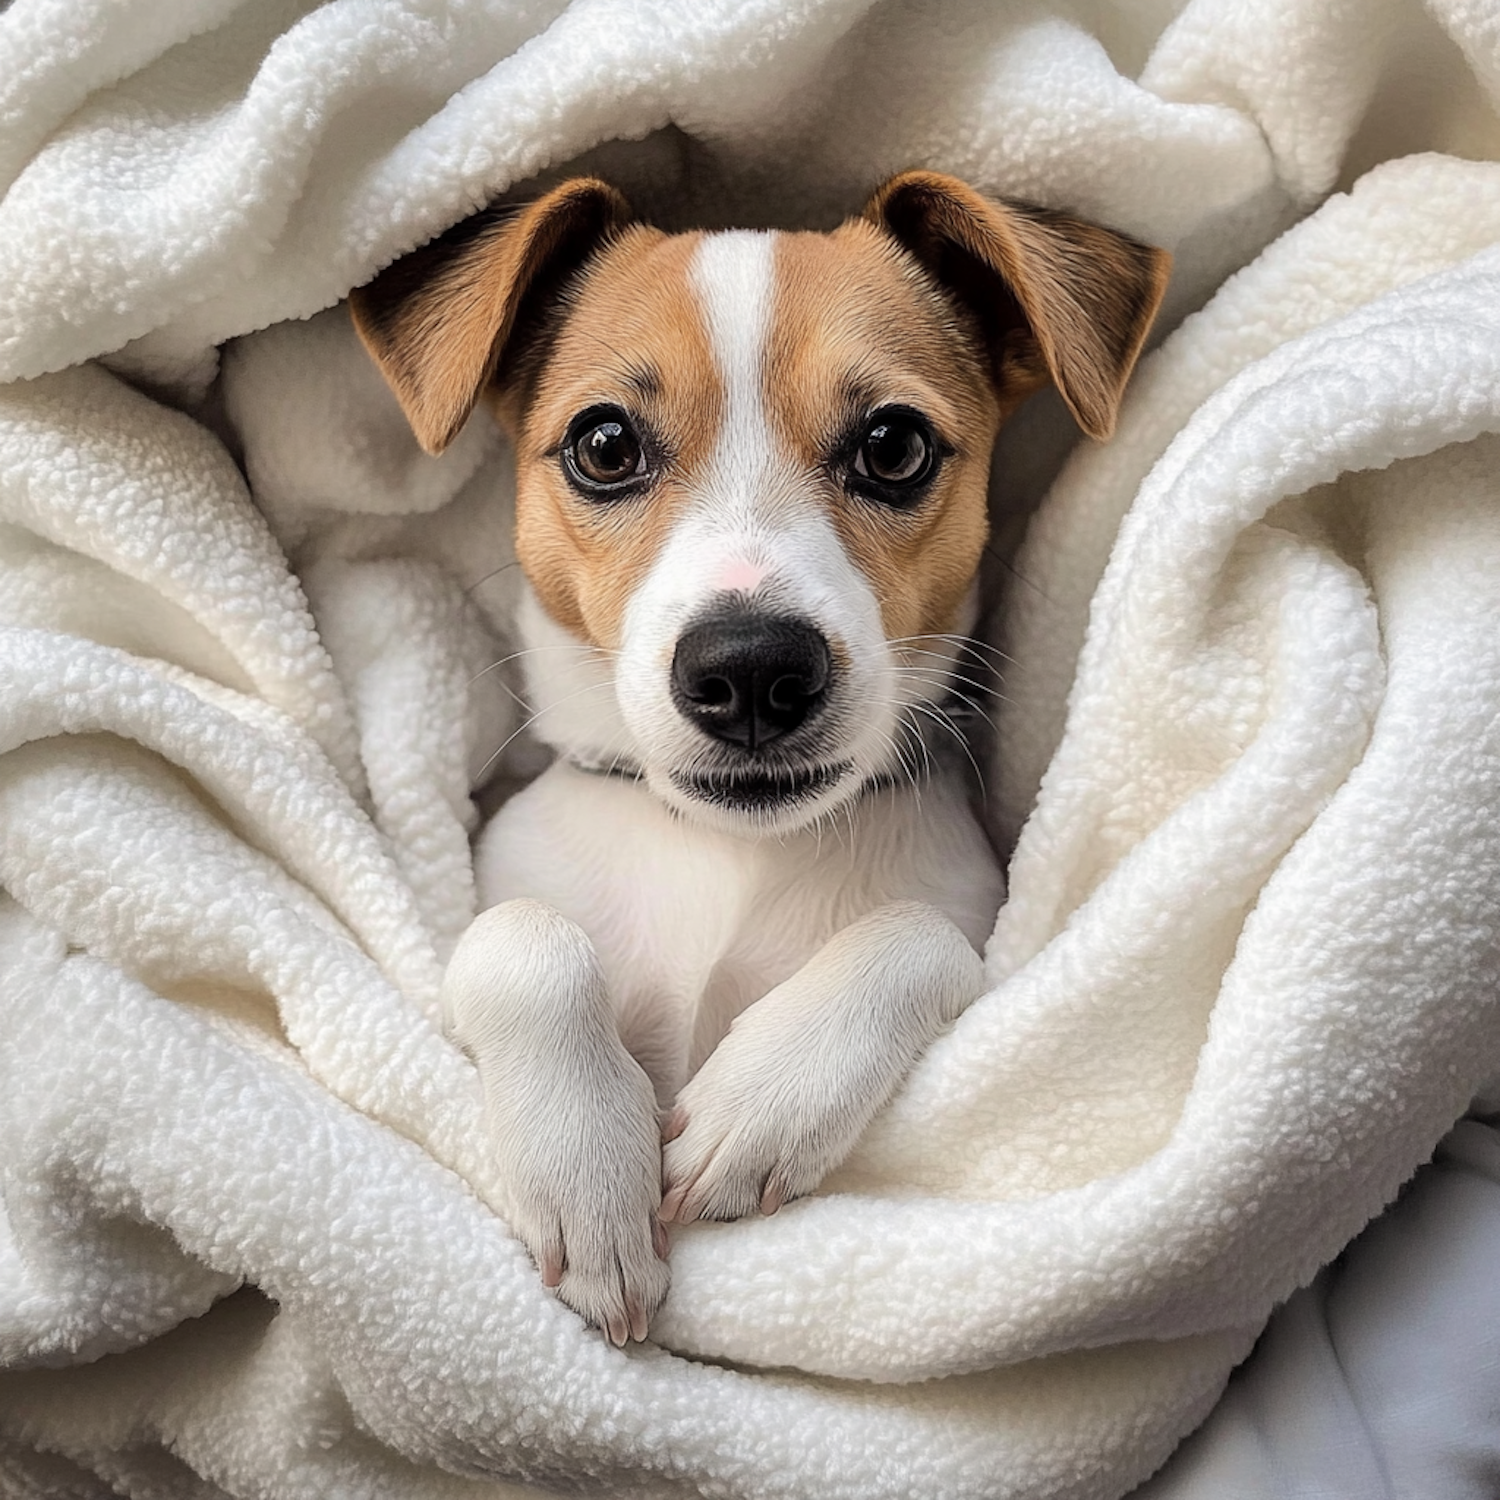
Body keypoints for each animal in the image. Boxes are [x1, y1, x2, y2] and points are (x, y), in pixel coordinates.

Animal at [354, 172, 1170, 1350]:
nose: (750, 670)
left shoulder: (973, 928)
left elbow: (918, 937)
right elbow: (520, 940)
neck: (725, 850)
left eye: (893, 444)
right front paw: (586, 1174)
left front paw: (760, 1105)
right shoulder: (495, 897)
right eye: (606, 444)